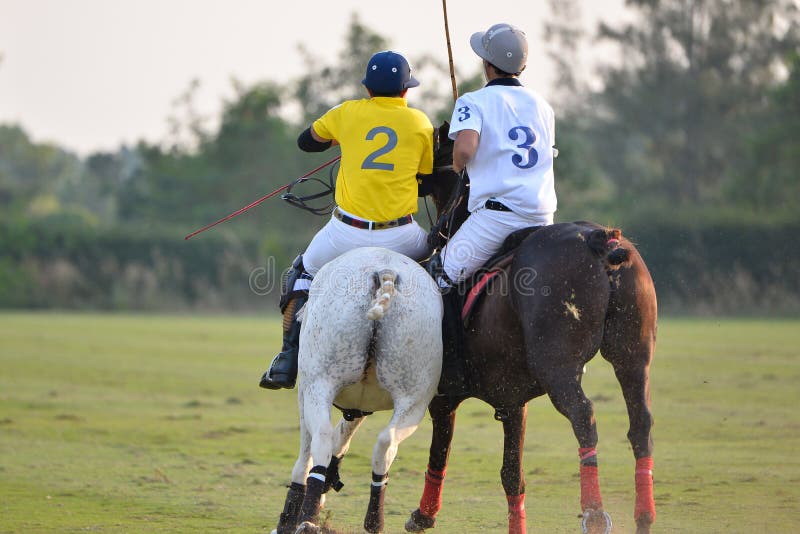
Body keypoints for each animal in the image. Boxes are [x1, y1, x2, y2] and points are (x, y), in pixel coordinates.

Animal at [270, 246, 443, 534]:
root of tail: (386, 271)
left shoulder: (306, 389)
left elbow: (306, 455)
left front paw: (287, 519)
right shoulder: (360, 404)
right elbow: (344, 434)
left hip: (321, 383)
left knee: (321, 437)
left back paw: (307, 518)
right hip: (414, 398)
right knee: (385, 443)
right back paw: (374, 519)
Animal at [404, 123, 658, 534]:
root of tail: (600, 241)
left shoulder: (444, 395)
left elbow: (439, 451)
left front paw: (424, 514)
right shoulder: (512, 401)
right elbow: (512, 475)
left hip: (557, 366)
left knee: (584, 416)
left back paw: (594, 514)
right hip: (633, 356)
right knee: (640, 424)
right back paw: (644, 516)